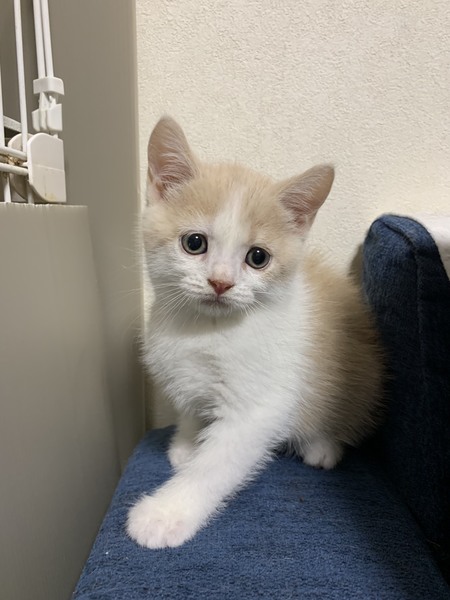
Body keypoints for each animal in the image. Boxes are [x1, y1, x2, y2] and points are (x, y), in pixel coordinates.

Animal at [127, 116, 383, 549]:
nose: (220, 282)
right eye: (194, 243)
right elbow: (191, 406)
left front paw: (166, 513)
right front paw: (186, 443)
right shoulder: (181, 367)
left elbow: (217, 463)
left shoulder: (258, 405)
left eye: (257, 257)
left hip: (358, 376)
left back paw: (321, 446)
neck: (205, 329)